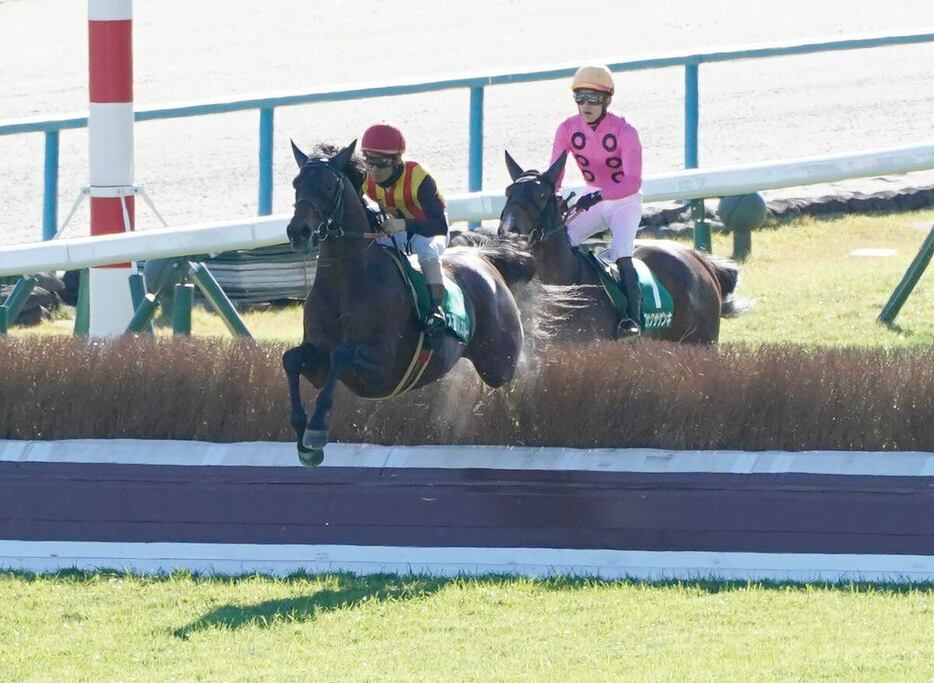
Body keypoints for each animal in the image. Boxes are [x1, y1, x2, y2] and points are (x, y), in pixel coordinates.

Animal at [284, 142, 532, 468]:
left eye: (327, 186)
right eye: (296, 183)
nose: (297, 232)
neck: (345, 279)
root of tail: (483, 258)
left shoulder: (383, 368)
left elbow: (340, 354)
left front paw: (315, 431)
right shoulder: (318, 363)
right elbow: (291, 359)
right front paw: (301, 431)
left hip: (498, 360)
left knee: (512, 373)